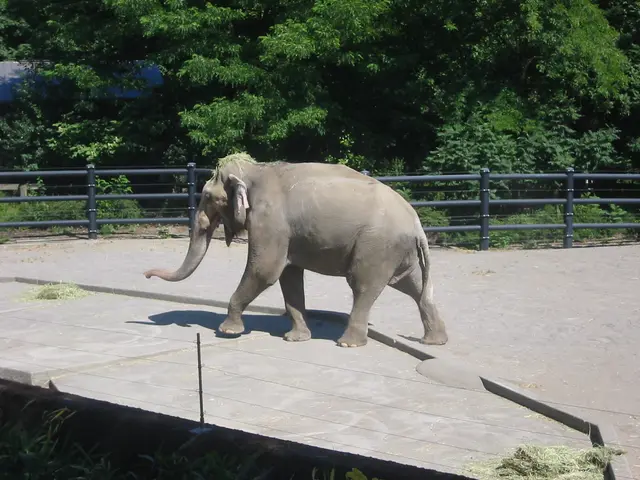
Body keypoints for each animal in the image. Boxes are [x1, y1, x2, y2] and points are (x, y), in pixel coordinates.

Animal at [143, 152, 448, 348]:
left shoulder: (270, 221)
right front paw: (296, 338)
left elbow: (265, 270)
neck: (256, 170)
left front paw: (228, 331)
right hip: (397, 251)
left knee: (363, 285)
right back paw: (434, 341)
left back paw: (348, 344)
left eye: (207, 196)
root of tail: (417, 223)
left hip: (376, 246)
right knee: (414, 287)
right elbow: (288, 276)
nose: (145, 275)